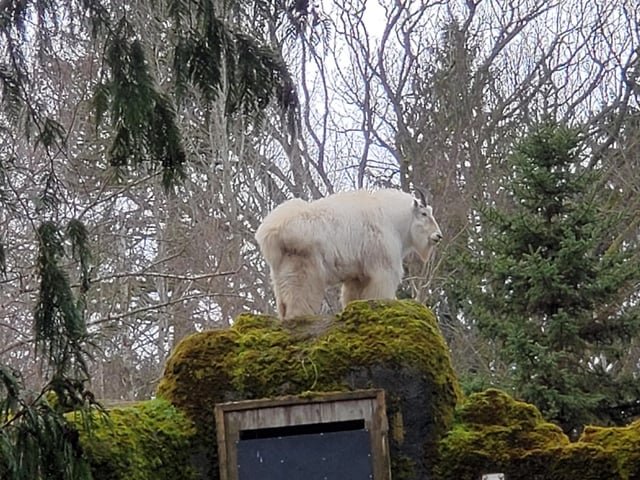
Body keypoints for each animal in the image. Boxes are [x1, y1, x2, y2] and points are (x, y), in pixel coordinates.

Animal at [255, 188, 443, 321]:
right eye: (424, 214)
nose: (438, 236)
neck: (393, 221)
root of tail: (272, 232)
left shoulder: (357, 275)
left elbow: (353, 297)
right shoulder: (383, 268)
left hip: (282, 272)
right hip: (304, 271)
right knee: (299, 298)